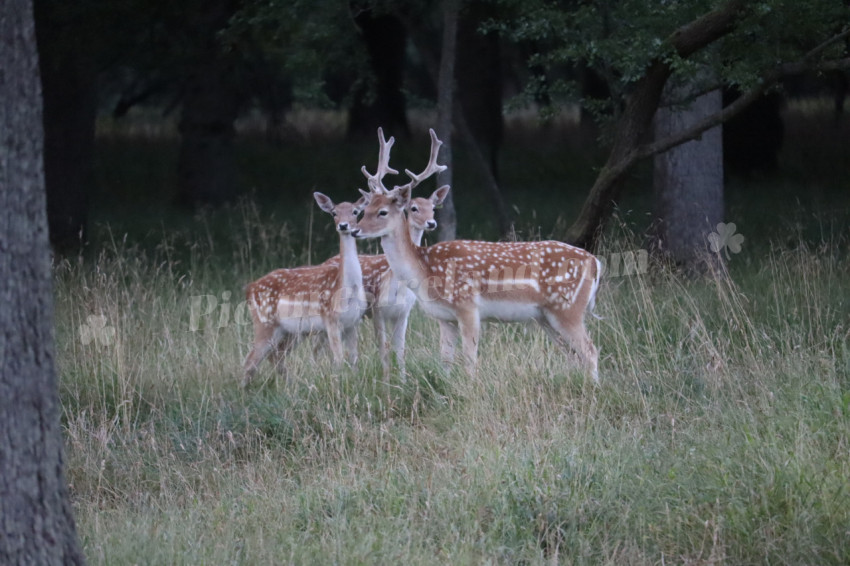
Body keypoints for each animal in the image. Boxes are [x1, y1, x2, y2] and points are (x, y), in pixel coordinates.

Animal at [242, 194, 368, 386]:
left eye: (355, 211)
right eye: (334, 213)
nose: (343, 225)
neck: (347, 289)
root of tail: (250, 289)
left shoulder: (353, 322)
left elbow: (354, 359)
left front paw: (355, 382)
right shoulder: (330, 319)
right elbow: (338, 359)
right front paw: (338, 384)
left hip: (289, 330)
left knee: (274, 355)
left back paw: (291, 384)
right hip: (264, 322)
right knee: (251, 360)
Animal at [356, 131, 604, 384]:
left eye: (382, 212)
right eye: (364, 210)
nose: (355, 230)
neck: (425, 271)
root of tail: (595, 263)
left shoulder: (467, 306)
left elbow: (469, 361)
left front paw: (470, 388)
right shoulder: (444, 317)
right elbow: (445, 360)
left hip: (567, 307)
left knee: (590, 351)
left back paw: (595, 388)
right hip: (546, 316)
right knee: (573, 355)